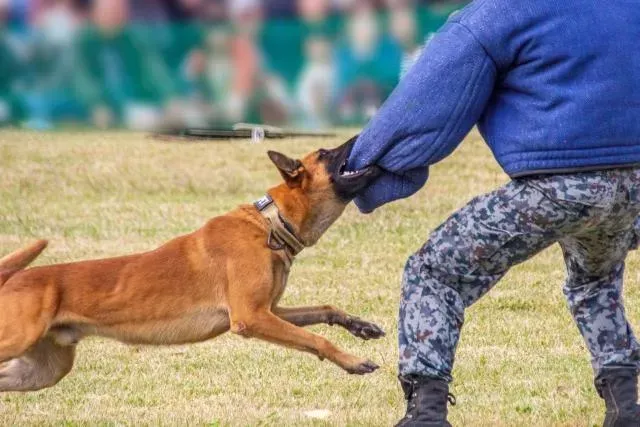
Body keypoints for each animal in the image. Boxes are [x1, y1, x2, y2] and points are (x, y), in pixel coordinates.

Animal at [0, 139, 384, 392]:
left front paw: (360, 326)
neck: (270, 224)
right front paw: (353, 361)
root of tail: (12, 279)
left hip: (43, 370)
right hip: (18, 341)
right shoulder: (251, 317)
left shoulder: (269, 310)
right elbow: (316, 339)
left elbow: (324, 309)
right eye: (325, 154)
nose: (360, 135)